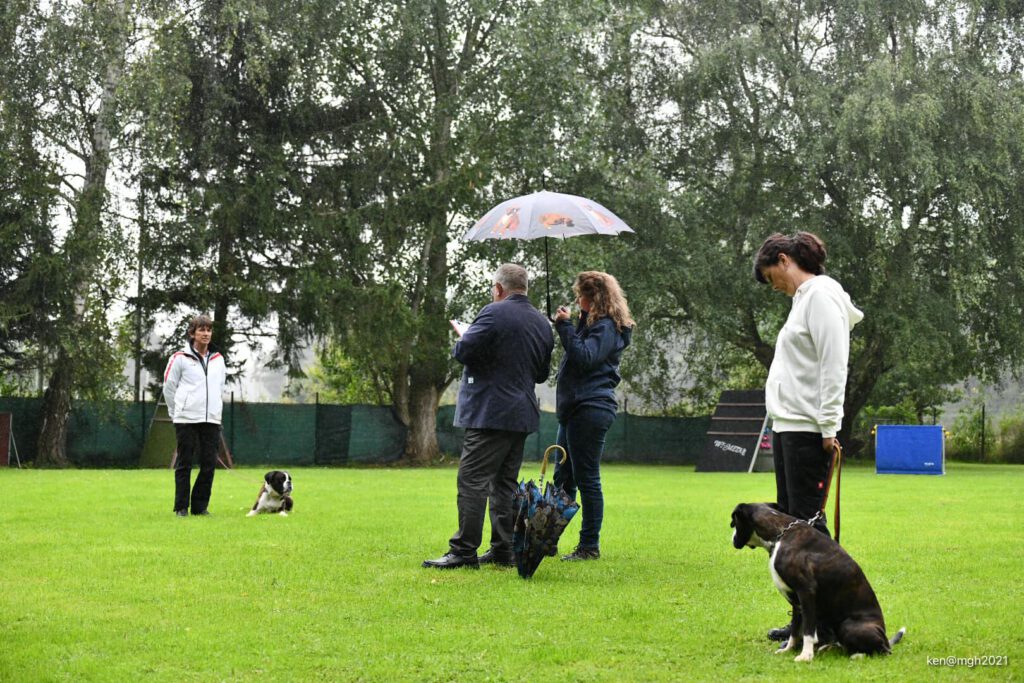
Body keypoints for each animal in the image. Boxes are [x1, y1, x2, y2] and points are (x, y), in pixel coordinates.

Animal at [729, 501, 905, 663]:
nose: (732, 539)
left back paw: (857, 655)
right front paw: (788, 649)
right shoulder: (796, 602)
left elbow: (807, 630)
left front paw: (806, 656)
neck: (780, 534)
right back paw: (828, 647)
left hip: (849, 626)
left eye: (734, 523)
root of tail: (885, 638)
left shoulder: (806, 592)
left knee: (883, 651)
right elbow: (795, 629)